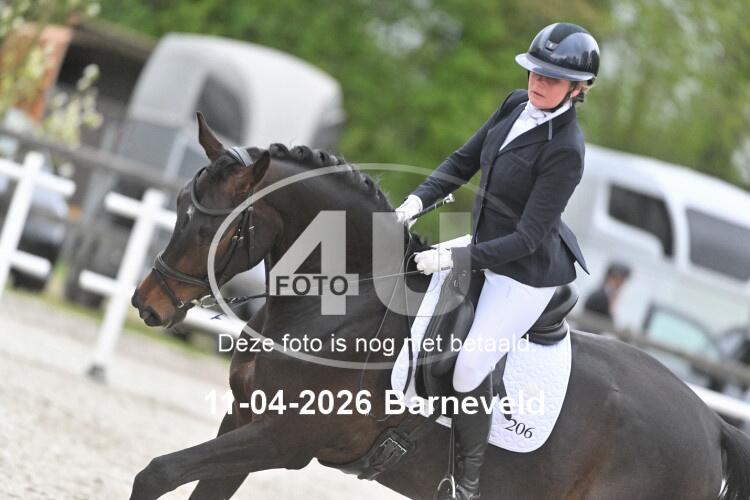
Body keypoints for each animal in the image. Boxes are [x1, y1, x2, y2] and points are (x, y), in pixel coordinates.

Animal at [129, 113, 750, 500]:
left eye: (216, 229)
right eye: (181, 205)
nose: (147, 305)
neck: (342, 302)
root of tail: (712, 423)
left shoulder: (282, 440)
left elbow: (157, 473)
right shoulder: (242, 419)